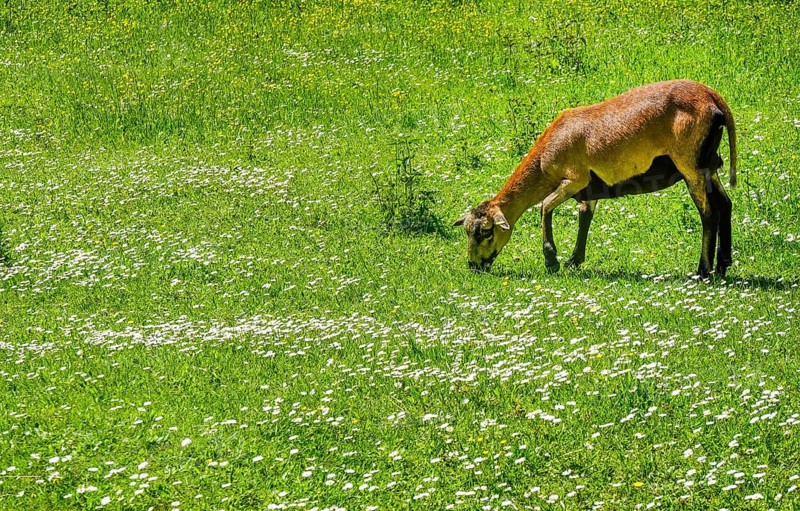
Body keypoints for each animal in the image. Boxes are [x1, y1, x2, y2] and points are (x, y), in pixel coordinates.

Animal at [454, 80, 737, 278]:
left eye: (485, 232)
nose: (473, 265)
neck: (544, 159)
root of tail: (713, 97)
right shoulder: (589, 189)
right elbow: (585, 218)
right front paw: (574, 261)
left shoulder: (574, 179)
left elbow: (545, 206)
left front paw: (552, 261)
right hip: (708, 165)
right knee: (725, 205)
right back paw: (723, 264)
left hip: (690, 163)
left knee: (709, 213)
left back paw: (703, 271)